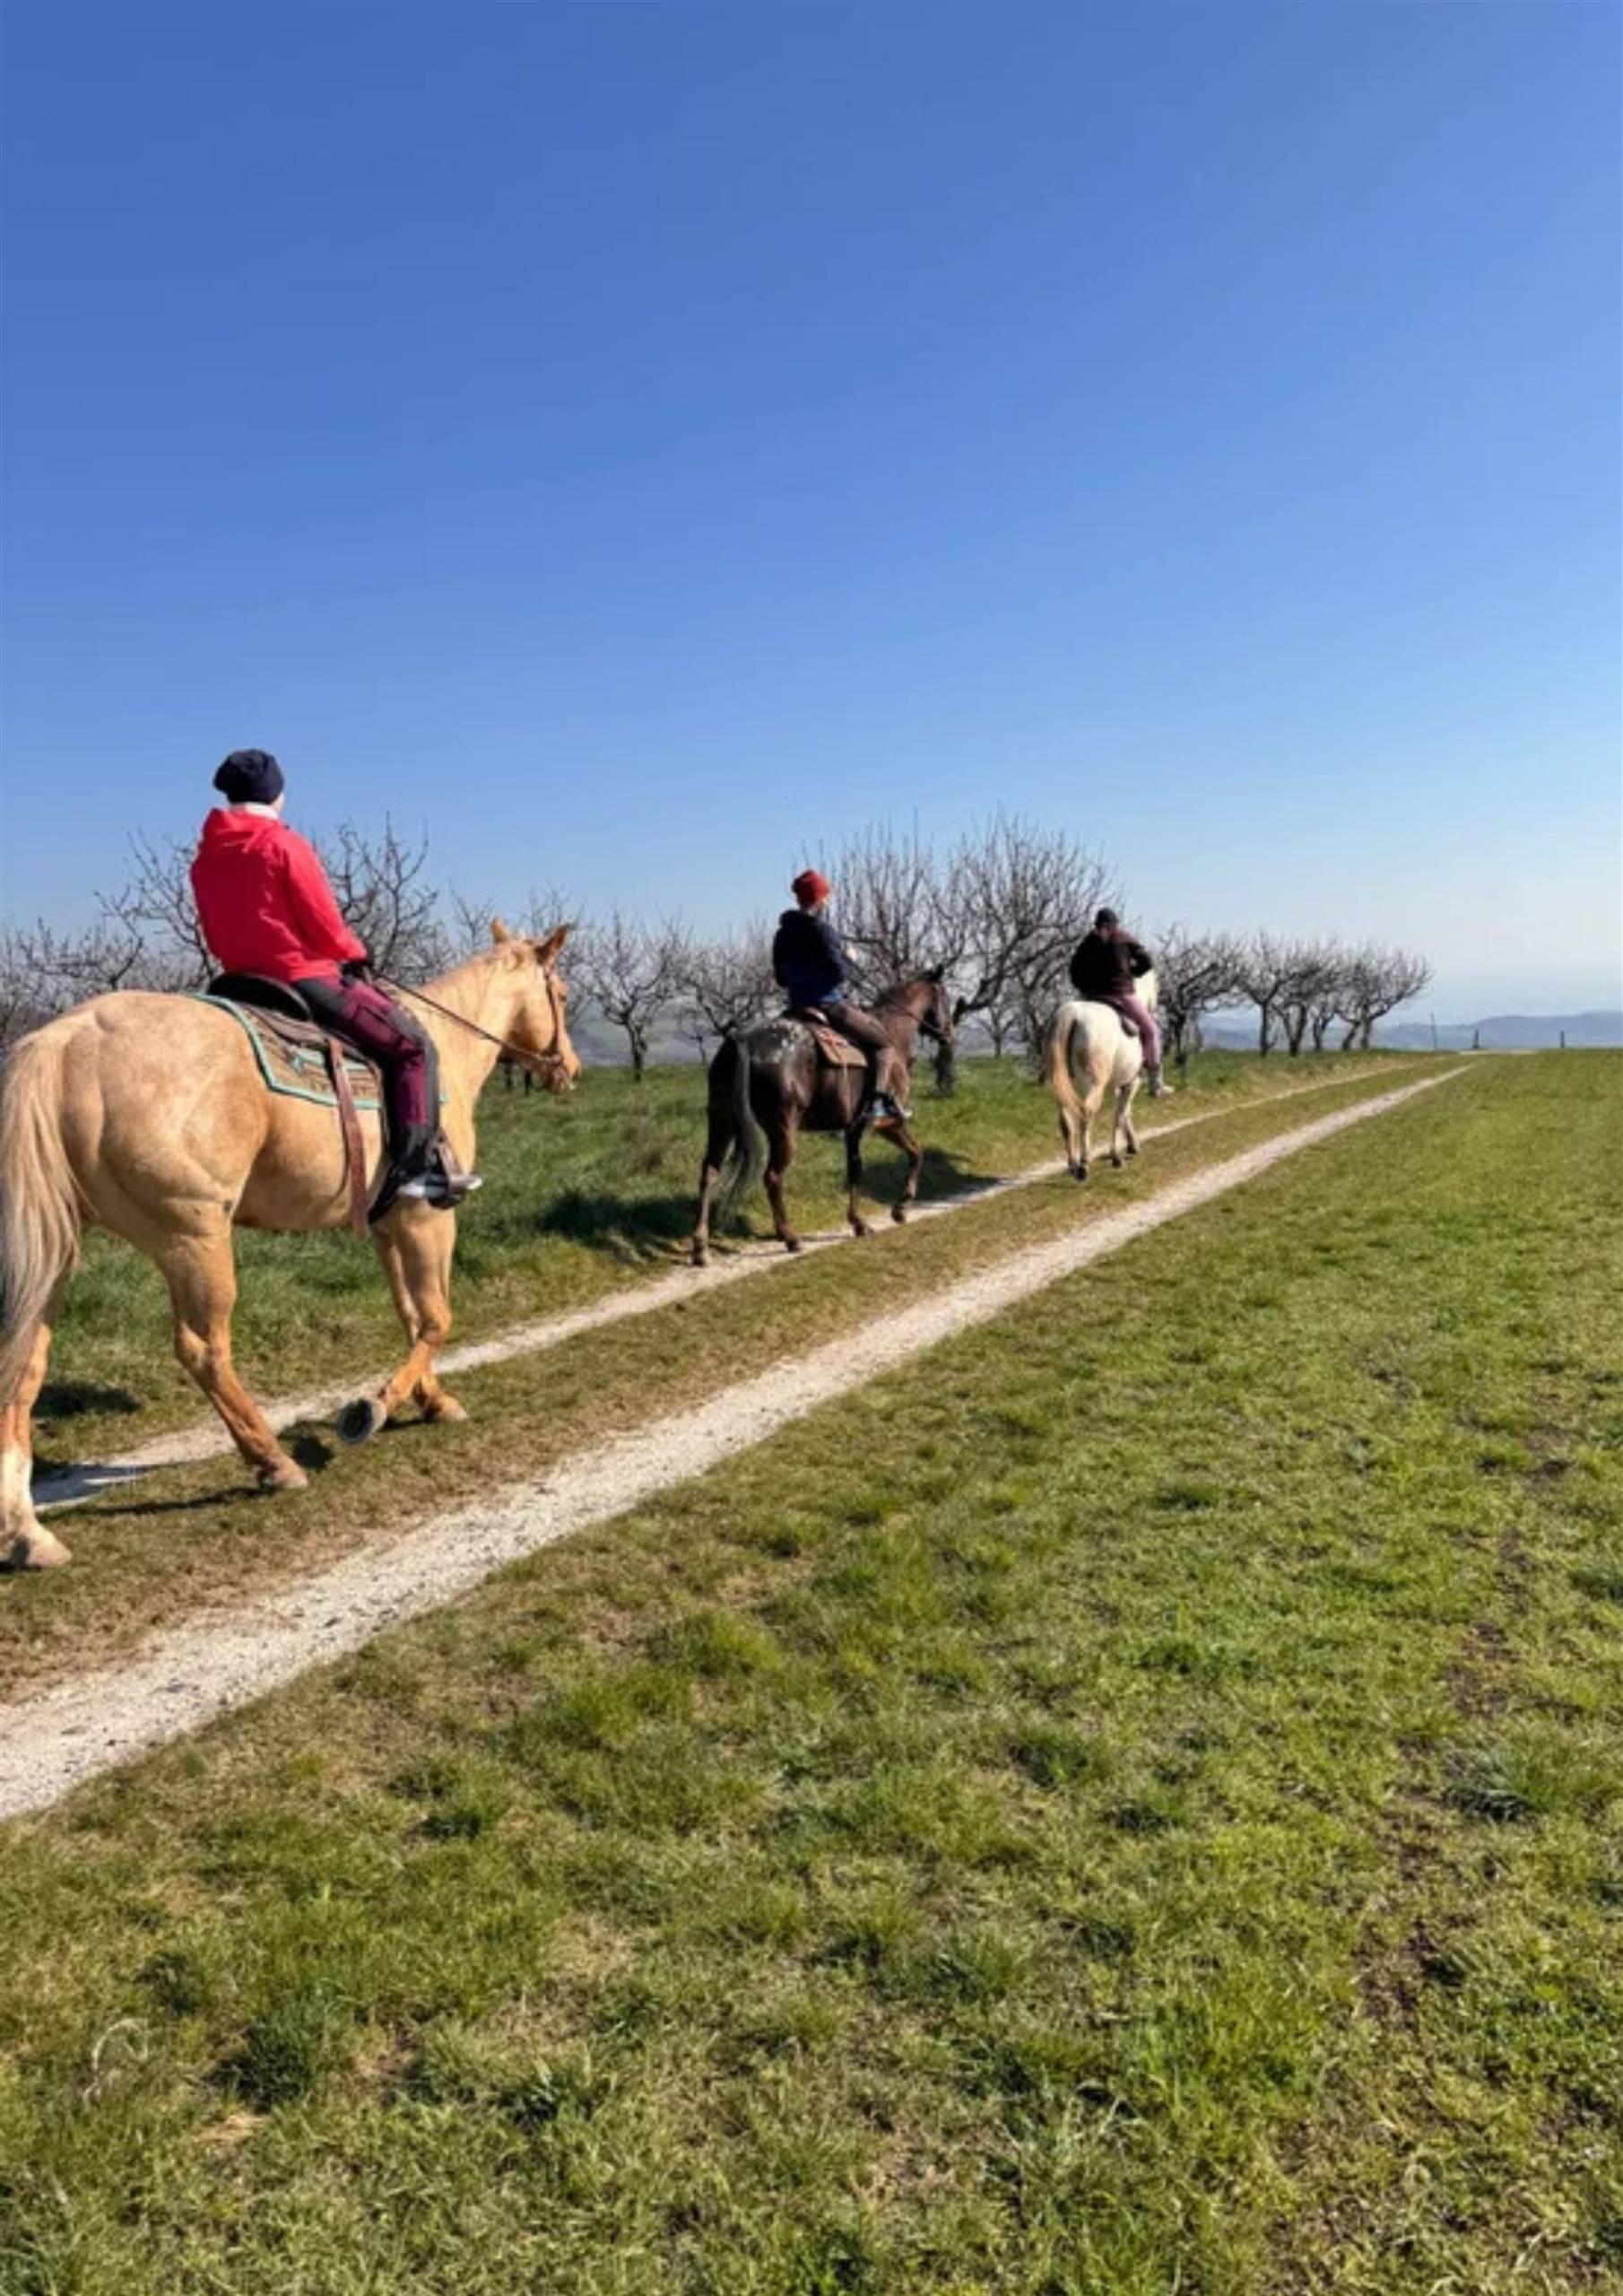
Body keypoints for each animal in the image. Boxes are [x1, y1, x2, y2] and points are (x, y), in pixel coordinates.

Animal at [0, 922, 578, 1569]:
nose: (569, 1067)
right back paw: (272, 1461)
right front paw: (373, 1408)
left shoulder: (390, 1225)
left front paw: (430, 1400)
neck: (446, 1047)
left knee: (23, 1363)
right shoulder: (428, 1218)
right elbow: (436, 1319)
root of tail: (64, 1040)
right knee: (203, 1349)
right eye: (563, 994)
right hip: (193, 1237)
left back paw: (27, 1532)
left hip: (58, 1248)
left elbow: (410, 1315)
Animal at [691, 972, 955, 1266]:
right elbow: (916, 1153)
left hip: (721, 1121)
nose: (949, 1035)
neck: (893, 1033)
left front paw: (859, 1222)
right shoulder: (887, 1123)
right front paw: (900, 1208)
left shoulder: (853, 1128)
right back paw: (790, 1237)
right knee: (772, 1177)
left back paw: (701, 1246)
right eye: (945, 998)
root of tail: (744, 1039)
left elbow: (856, 1169)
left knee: (709, 1172)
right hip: (782, 1130)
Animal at [1044, 967, 1160, 1181]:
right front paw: (1117, 1156)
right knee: (1086, 1113)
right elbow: (1121, 1115)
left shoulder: (1120, 1084)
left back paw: (1073, 1165)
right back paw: (1084, 1165)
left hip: (1062, 1085)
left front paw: (1131, 1145)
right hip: (1093, 1084)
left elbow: (1125, 1113)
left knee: (1066, 1121)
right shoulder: (1132, 1082)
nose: (1153, 1008)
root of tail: (1073, 1013)